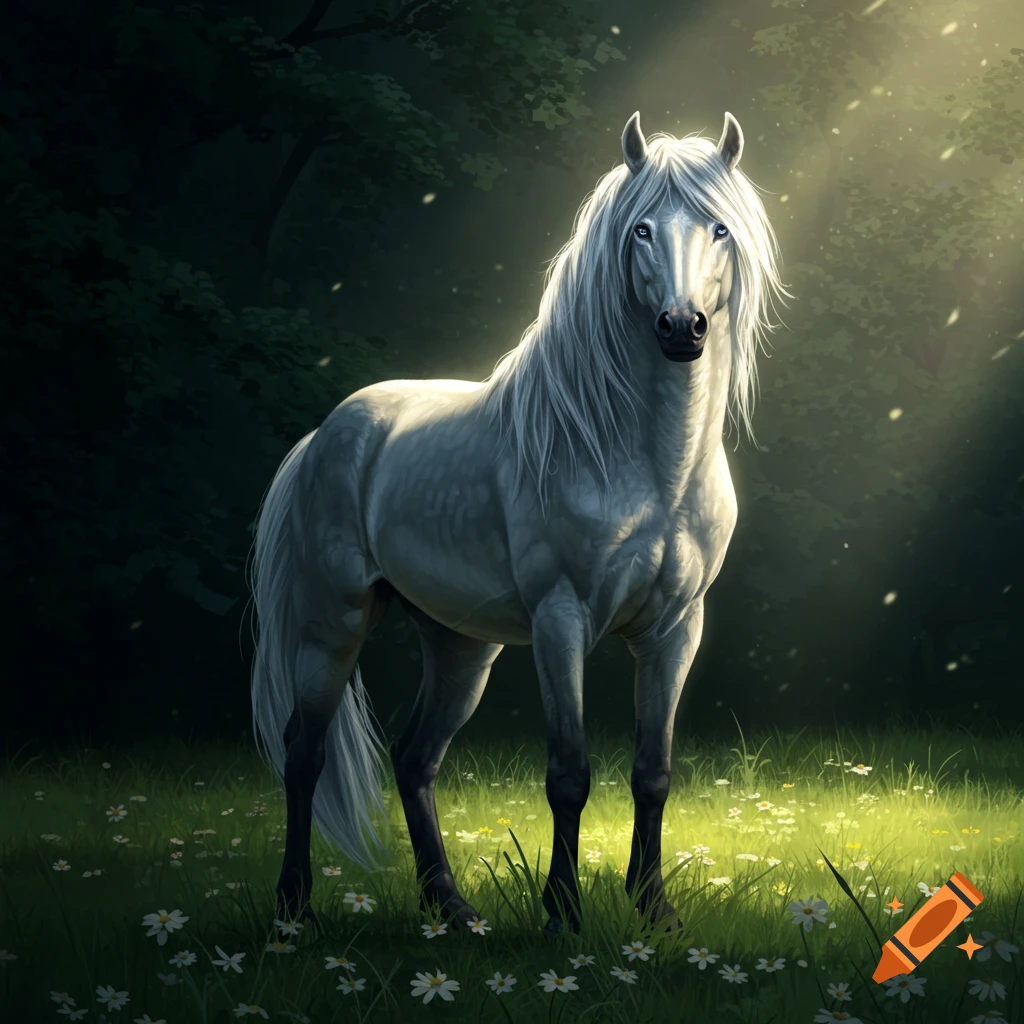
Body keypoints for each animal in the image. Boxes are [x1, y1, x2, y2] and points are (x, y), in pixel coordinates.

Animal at [249, 110, 788, 937]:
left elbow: (653, 772)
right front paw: (563, 914)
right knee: (304, 753)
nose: (682, 327)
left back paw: (452, 907)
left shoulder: (675, 628)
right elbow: (569, 774)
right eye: (639, 229)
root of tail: (325, 434)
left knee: (415, 759)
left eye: (720, 228)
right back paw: (293, 906)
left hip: (460, 646)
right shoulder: (561, 619)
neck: (645, 461)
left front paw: (654, 908)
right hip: (331, 624)